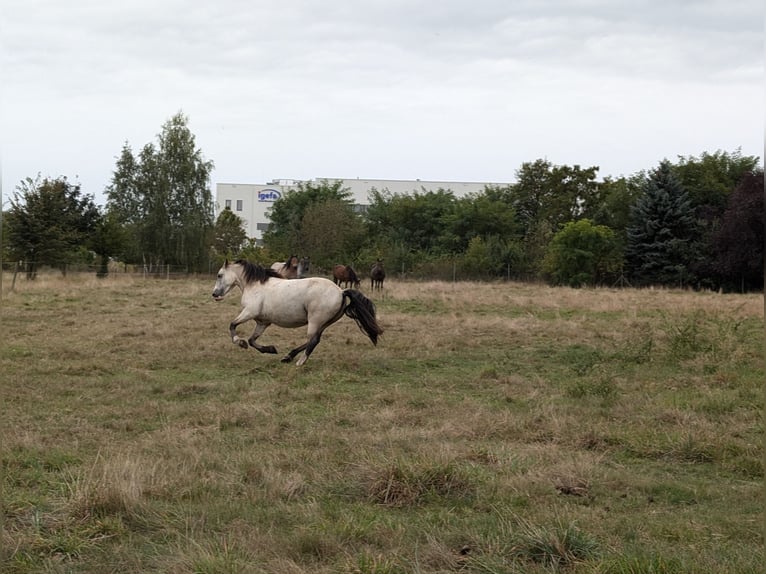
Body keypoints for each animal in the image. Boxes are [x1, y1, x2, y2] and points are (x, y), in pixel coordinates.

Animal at [212, 259, 382, 365]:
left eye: (219, 275)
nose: (215, 294)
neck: (255, 286)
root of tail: (341, 291)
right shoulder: (263, 322)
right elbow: (253, 340)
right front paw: (271, 349)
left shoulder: (249, 312)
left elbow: (232, 325)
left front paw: (240, 343)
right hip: (324, 323)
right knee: (314, 340)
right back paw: (288, 356)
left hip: (314, 321)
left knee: (313, 341)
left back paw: (300, 361)